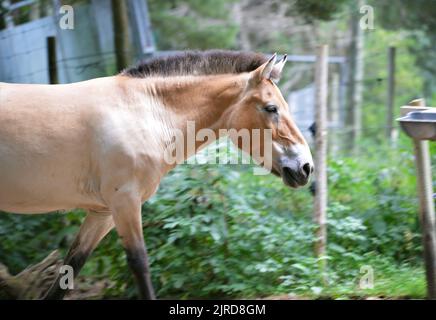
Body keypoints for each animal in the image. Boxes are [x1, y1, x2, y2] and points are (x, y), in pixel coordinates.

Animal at [0, 48, 314, 298]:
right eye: (271, 108)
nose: (305, 167)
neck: (146, 113)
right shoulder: (125, 202)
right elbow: (140, 264)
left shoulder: (103, 213)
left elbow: (70, 268)